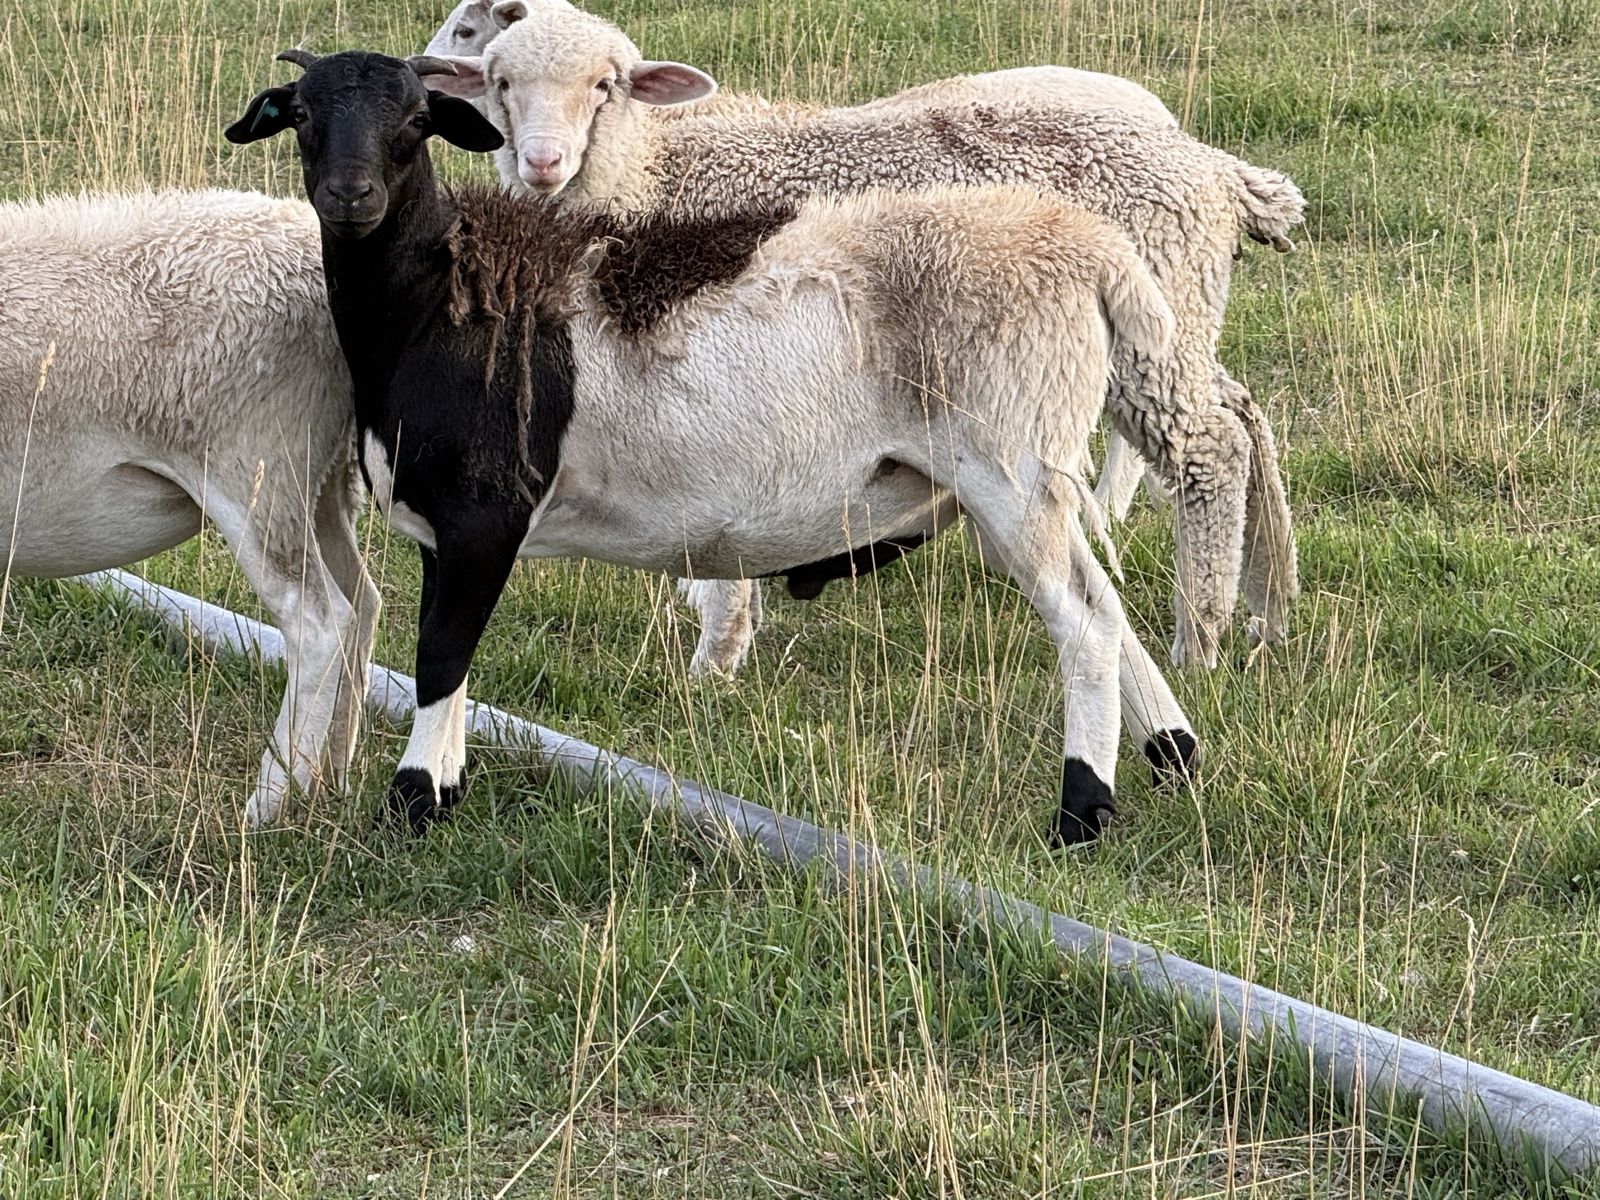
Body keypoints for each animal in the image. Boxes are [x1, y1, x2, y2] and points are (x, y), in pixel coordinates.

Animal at [0, 189, 378, 829]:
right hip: (321, 481)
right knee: (365, 602)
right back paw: (334, 780)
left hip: (256, 469)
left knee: (320, 623)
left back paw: (270, 803)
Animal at [227, 49, 1201, 846]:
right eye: (303, 115)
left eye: (413, 123)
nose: (351, 198)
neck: (435, 299)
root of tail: (1093, 255)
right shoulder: (453, 531)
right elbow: (453, 656)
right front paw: (444, 785)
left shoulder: (481, 512)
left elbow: (441, 654)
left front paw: (415, 801)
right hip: (1029, 475)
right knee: (1106, 606)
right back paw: (1171, 753)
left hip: (1009, 463)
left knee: (1081, 624)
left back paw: (1081, 812)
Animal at [429, 0, 1303, 676]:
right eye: (503, 83)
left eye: (604, 86)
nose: (543, 162)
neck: (655, 167)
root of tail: (1217, 173)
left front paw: (718, 652)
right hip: (1170, 326)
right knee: (1242, 415)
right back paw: (1268, 604)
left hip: (1152, 328)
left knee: (1210, 451)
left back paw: (1201, 638)